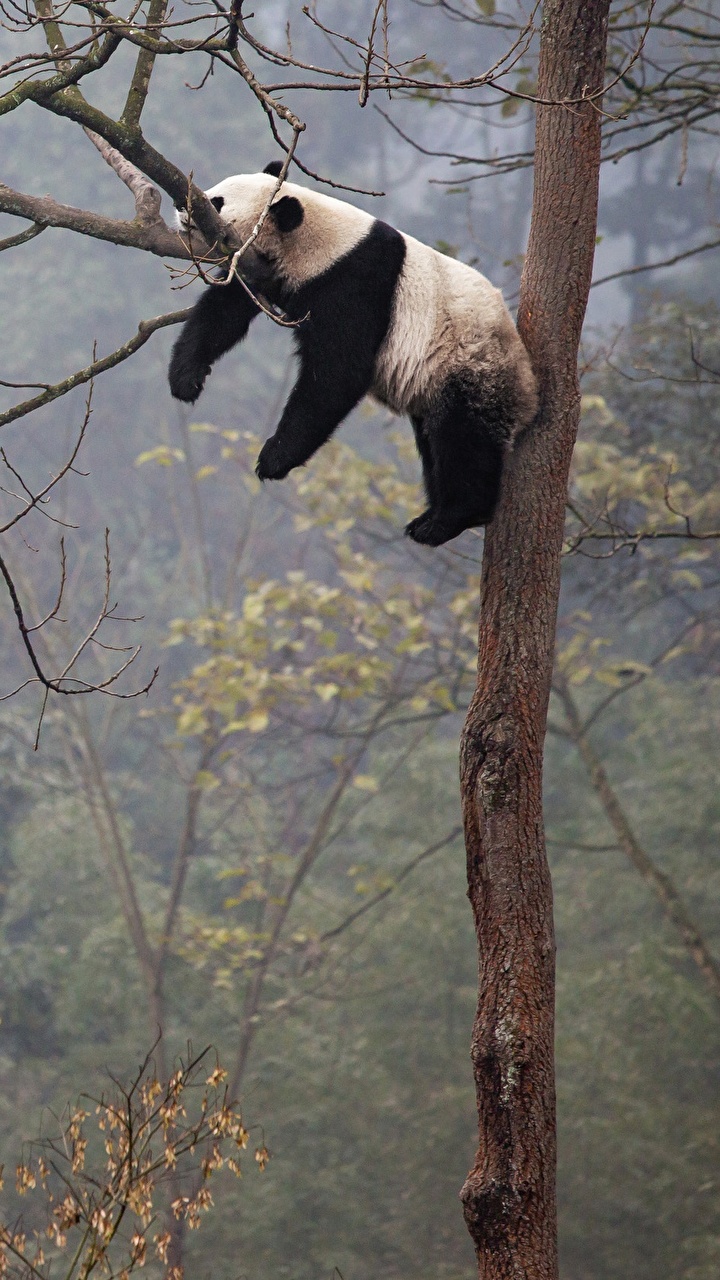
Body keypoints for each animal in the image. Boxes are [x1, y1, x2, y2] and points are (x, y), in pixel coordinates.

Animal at [167, 162, 535, 542]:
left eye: (216, 201)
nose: (181, 206)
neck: (321, 241)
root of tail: (530, 392)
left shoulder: (354, 283)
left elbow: (338, 372)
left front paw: (274, 458)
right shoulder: (259, 267)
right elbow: (225, 310)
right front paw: (186, 378)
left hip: (471, 362)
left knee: (464, 439)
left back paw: (448, 519)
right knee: (434, 441)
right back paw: (429, 517)